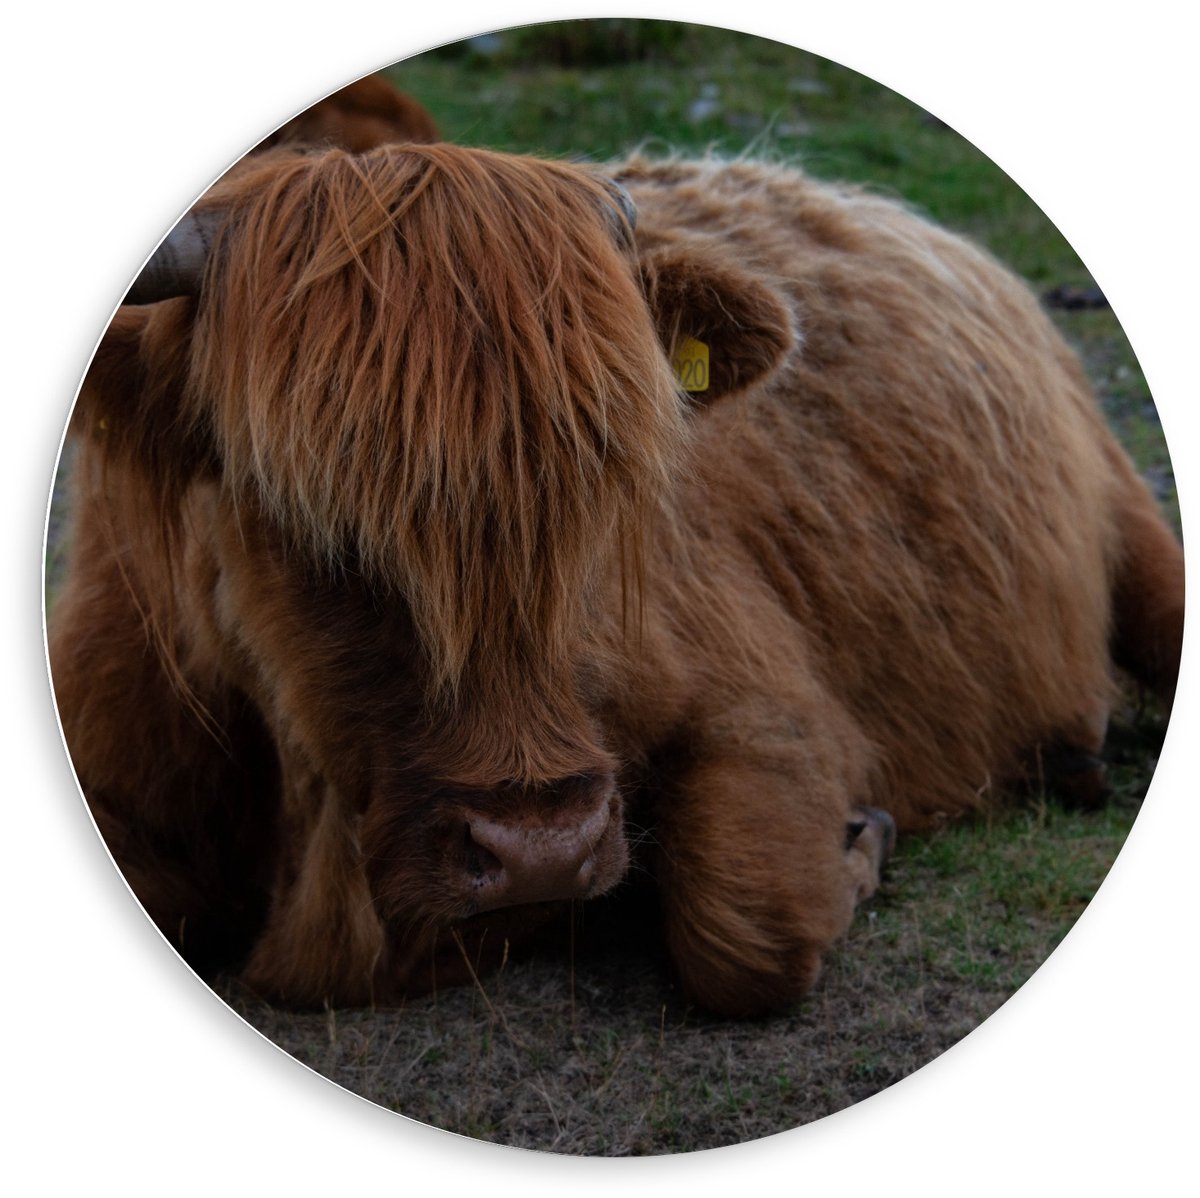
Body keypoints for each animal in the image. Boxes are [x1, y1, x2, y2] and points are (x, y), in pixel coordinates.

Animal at [48, 142, 1184, 1018]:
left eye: (617, 480)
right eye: (297, 511)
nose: (540, 848)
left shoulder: (767, 706)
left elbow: (743, 931)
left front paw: (862, 842)